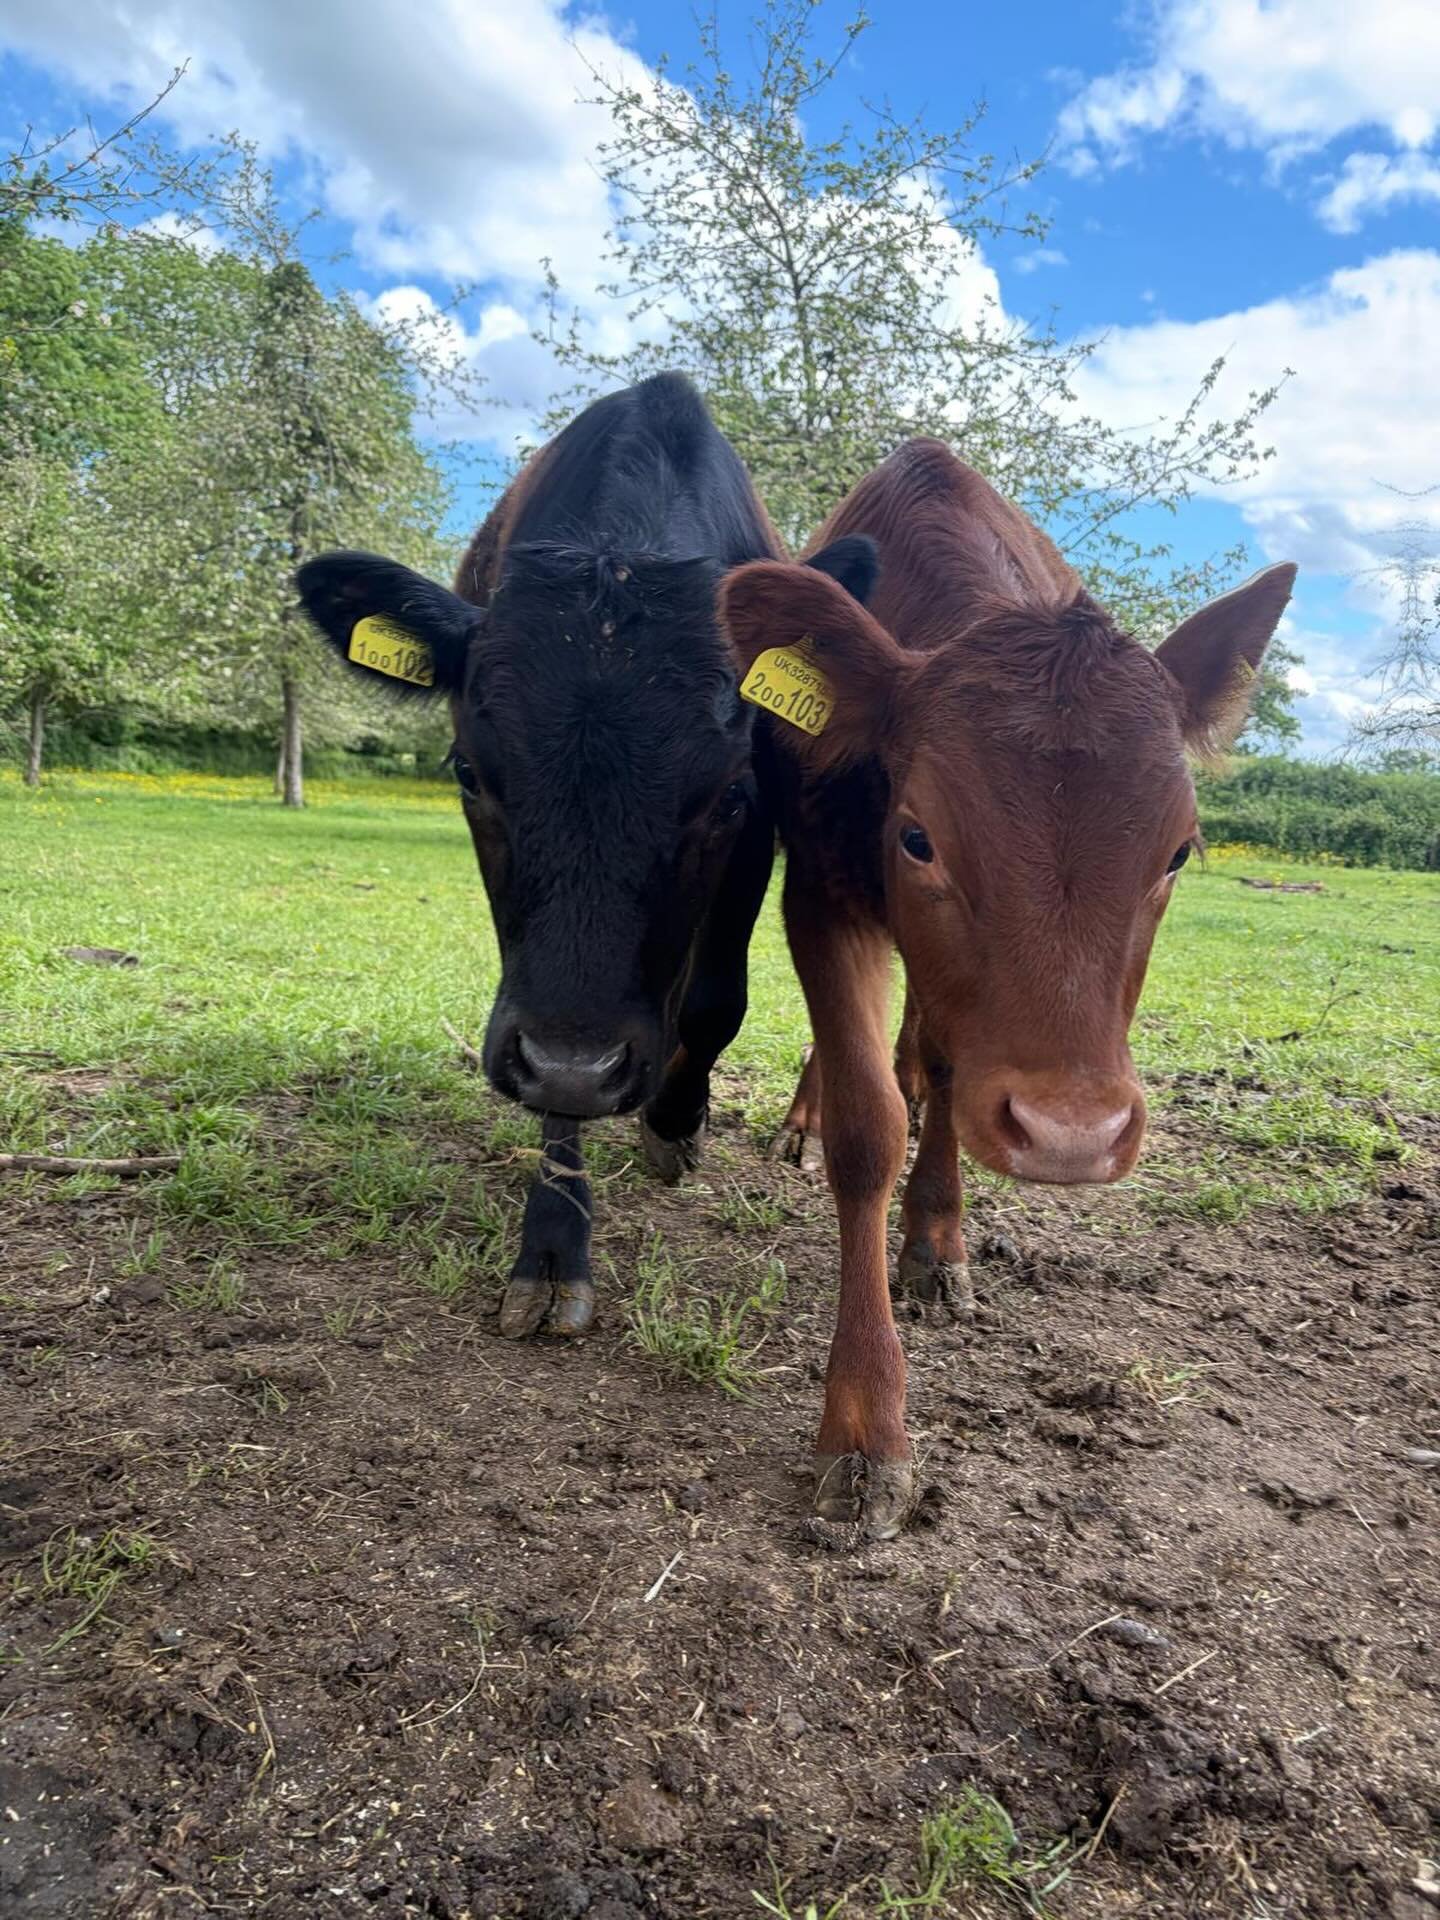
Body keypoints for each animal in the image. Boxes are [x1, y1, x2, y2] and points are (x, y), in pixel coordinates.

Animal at [297, 374, 808, 1341]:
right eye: (468, 772)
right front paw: (552, 1247)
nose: (581, 1064)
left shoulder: (763, 821)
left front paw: (676, 1122)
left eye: (727, 794)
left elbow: (717, 1003)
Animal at [720, 438, 1296, 1539]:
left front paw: (937, 1239)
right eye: (917, 837)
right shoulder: (819, 889)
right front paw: (866, 1427)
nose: (1071, 1133)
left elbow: (942, 1076)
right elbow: (867, 1126)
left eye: (1178, 851)